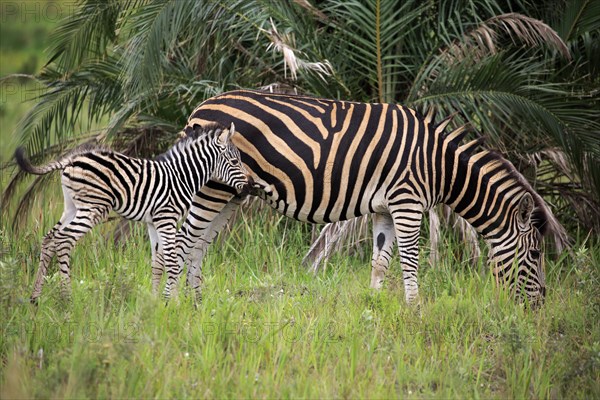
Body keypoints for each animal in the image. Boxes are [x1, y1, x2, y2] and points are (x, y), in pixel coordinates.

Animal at [15, 123, 251, 302]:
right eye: (234, 161)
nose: (249, 186)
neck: (181, 177)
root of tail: (72, 159)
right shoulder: (167, 217)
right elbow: (172, 261)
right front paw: (172, 303)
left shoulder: (153, 222)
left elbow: (158, 262)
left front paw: (156, 303)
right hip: (93, 208)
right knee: (64, 240)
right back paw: (67, 298)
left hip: (72, 207)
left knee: (49, 239)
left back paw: (35, 297)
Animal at [172, 90, 568, 308]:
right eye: (536, 254)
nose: (540, 305)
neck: (440, 166)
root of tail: (200, 108)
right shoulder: (407, 202)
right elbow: (409, 261)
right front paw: (415, 310)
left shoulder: (385, 210)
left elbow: (380, 261)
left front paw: (374, 307)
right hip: (213, 188)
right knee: (185, 239)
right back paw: (175, 301)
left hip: (231, 192)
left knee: (201, 243)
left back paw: (196, 300)